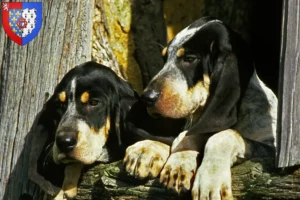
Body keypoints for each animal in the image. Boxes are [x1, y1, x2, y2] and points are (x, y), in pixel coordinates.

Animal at [123, 16, 278, 199]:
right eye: (164, 59)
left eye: (190, 59)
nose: (147, 98)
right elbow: (188, 134)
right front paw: (159, 153)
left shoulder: (272, 150)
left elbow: (223, 134)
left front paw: (209, 180)